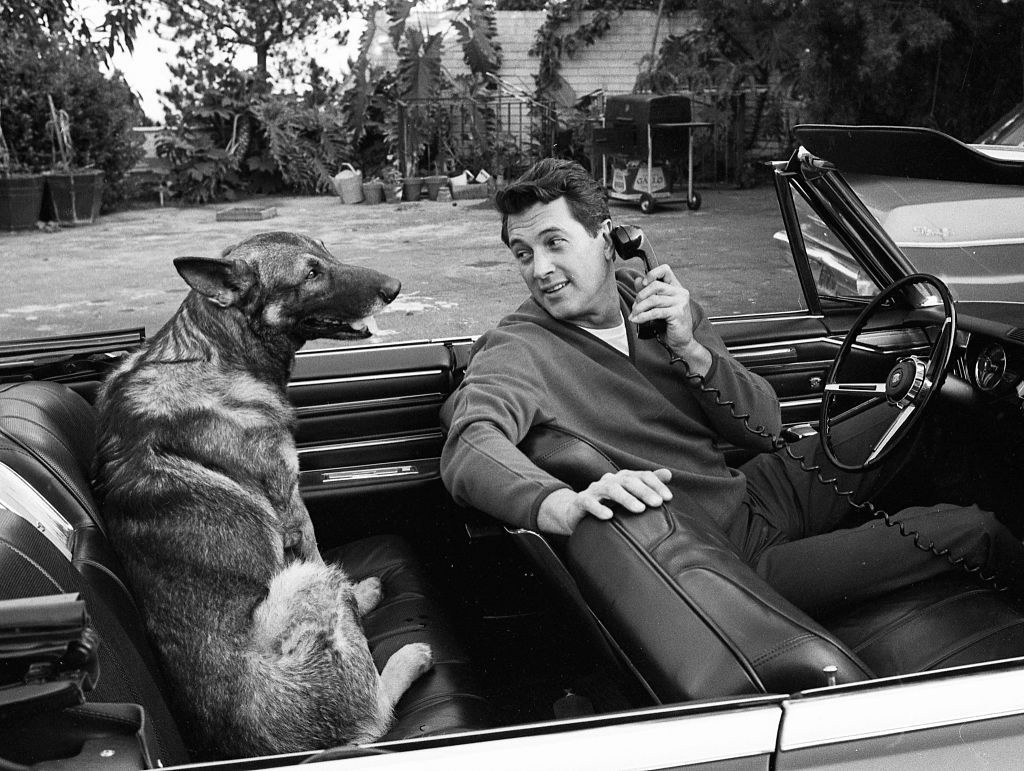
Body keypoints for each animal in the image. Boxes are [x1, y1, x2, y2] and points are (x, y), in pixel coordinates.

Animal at [92, 230, 432, 757]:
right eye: (311, 273)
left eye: (328, 253)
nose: (394, 287)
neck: (217, 351)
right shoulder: (292, 506)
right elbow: (318, 553)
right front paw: (358, 597)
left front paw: (359, 593)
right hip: (302, 585)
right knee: (374, 711)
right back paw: (405, 655)